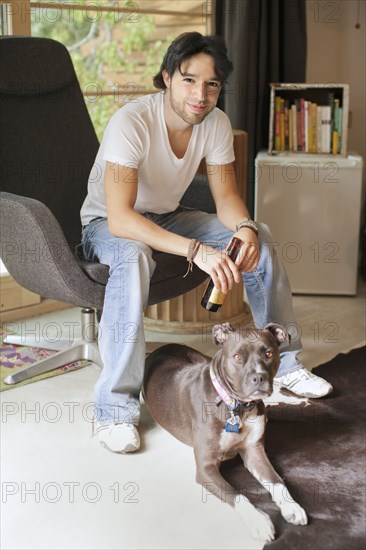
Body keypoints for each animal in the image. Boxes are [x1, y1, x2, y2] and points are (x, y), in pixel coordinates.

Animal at [144, 324, 308, 544]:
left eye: (269, 353)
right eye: (237, 356)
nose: (259, 377)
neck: (237, 407)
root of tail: (161, 348)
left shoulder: (254, 451)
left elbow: (276, 480)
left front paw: (292, 506)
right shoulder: (206, 468)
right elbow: (236, 494)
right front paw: (258, 520)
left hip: (202, 357)